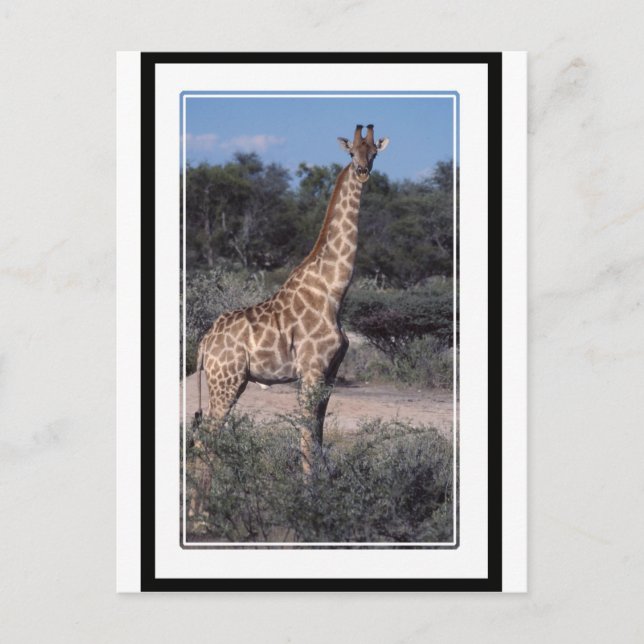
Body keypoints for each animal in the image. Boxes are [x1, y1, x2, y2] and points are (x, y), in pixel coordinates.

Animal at [194, 124, 389, 470]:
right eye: (352, 153)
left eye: (374, 153)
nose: (363, 172)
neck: (333, 292)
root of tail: (204, 343)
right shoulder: (311, 370)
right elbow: (307, 440)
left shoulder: (330, 373)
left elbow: (317, 439)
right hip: (225, 381)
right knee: (204, 440)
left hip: (231, 382)